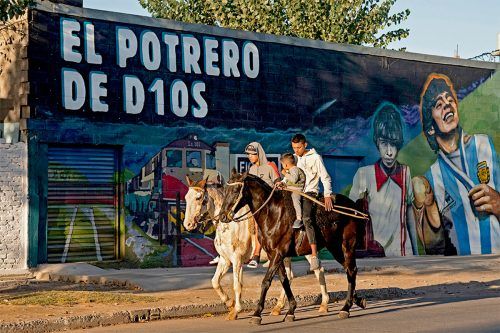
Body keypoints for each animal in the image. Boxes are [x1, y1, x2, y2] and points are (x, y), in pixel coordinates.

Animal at [183, 175, 328, 318]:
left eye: (198, 197)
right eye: (186, 197)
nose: (187, 224)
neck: (229, 226)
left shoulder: (237, 259)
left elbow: (237, 285)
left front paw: (236, 310)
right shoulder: (225, 259)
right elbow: (215, 282)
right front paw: (229, 303)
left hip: (305, 251)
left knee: (318, 270)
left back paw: (324, 304)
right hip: (284, 256)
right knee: (290, 275)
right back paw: (278, 307)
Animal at [220, 171, 368, 324]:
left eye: (236, 190)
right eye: (225, 190)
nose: (222, 216)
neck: (272, 214)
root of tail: (354, 207)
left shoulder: (278, 254)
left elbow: (266, 281)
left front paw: (257, 314)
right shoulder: (273, 255)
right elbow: (284, 280)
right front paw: (291, 310)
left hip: (347, 245)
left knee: (350, 270)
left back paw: (346, 308)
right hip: (335, 247)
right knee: (349, 270)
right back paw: (356, 300)